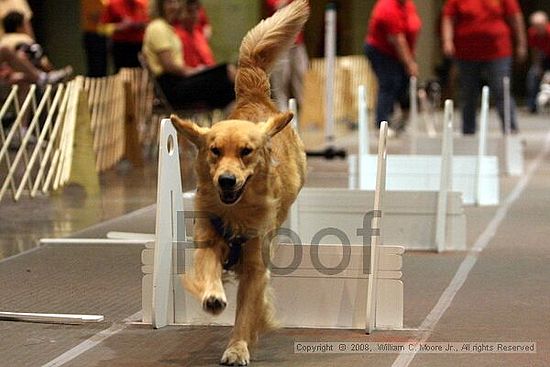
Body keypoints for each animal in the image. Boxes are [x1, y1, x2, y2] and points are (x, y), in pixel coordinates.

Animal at [171, 1, 310, 366]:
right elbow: (209, 271)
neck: (236, 213)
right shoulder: (207, 239)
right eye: (215, 151)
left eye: (246, 152)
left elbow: (246, 312)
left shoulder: (255, 267)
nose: (227, 179)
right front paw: (212, 296)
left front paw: (237, 347)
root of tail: (253, 97)